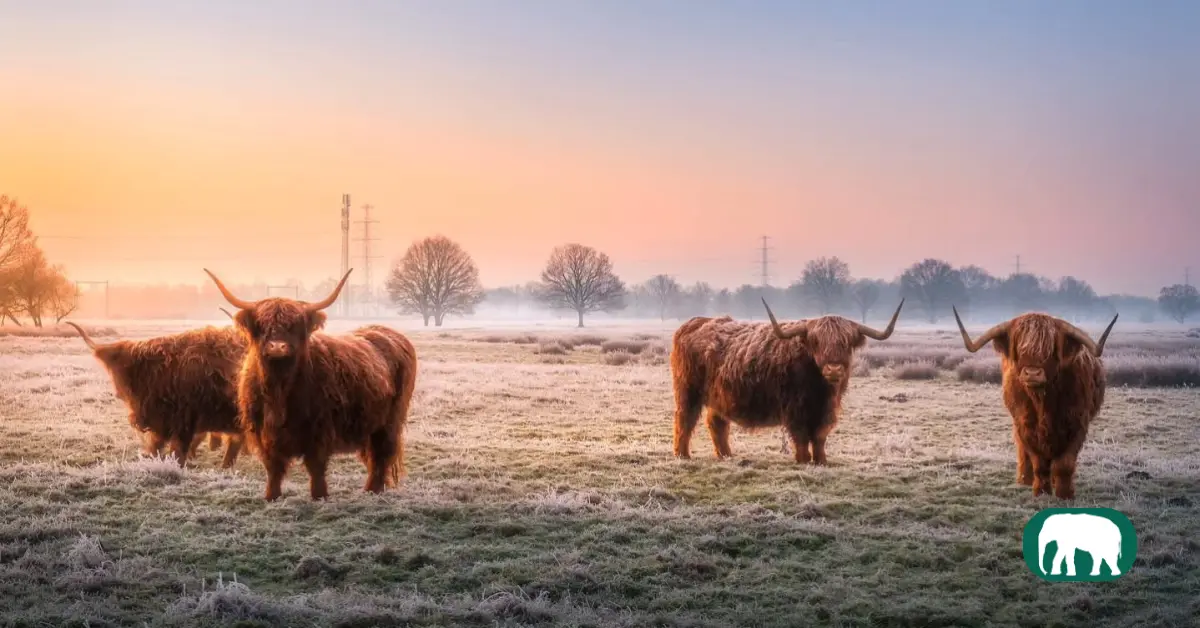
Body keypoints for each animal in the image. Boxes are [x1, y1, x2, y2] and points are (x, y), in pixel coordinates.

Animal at [65, 322, 246, 469]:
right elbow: (156, 448)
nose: (118, 393)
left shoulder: (183, 421)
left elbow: (178, 453)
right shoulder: (160, 423)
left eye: (126, 370)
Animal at [204, 267, 418, 501]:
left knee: (382, 453)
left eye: (294, 325)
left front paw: (319, 496)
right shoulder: (263, 431)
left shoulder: (319, 429)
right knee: (372, 454)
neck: (279, 389)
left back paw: (372, 490)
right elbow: (273, 466)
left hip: (391, 419)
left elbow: (315, 465)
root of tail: (388, 332)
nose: (277, 347)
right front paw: (272, 496)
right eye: (262, 324)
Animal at [671, 298, 904, 464]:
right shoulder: (795, 408)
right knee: (685, 419)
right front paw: (803, 460)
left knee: (716, 422)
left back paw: (726, 455)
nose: (834, 368)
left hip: (720, 396)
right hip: (688, 390)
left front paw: (821, 461)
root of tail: (696, 322)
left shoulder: (828, 410)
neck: (820, 389)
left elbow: (820, 436)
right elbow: (800, 436)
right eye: (816, 341)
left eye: (846, 342)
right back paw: (683, 455)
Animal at [951, 308, 1117, 499]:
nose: (1032, 373)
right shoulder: (1025, 426)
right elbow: (1039, 463)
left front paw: (1064, 494)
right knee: (1024, 452)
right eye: (1019, 348)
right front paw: (1041, 491)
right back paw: (1024, 479)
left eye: (1050, 349)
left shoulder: (1077, 425)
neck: (1042, 402)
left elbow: (1064, 464)